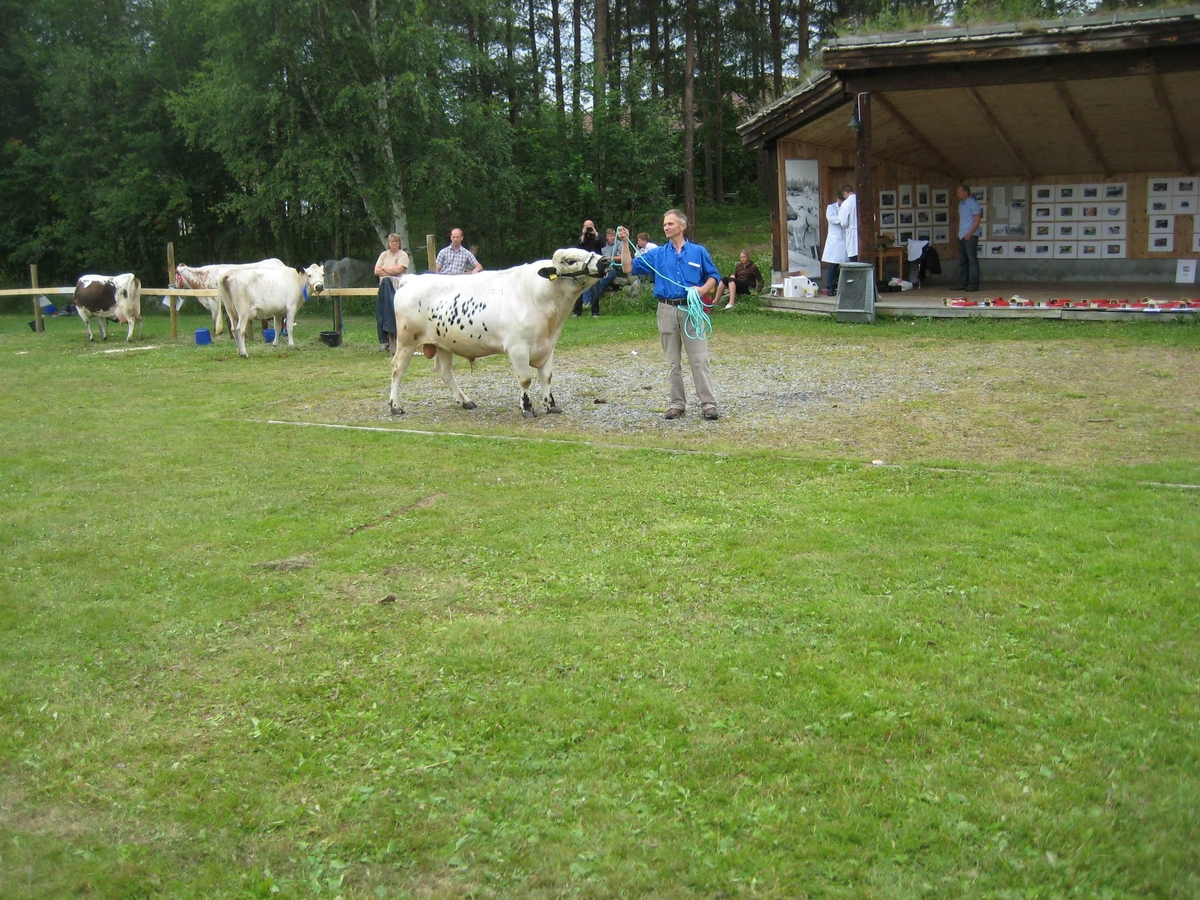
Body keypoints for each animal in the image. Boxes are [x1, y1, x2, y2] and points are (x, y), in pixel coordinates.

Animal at [388, 247, 609, 415]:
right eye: (570, 260)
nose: (605, 261)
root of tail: (412, 279)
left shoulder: (548, 346)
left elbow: (546, 377)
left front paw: (551, 405)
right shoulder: (517, 348)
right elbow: (525, 379)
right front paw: (527, 408)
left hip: (443, 343)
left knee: (444, 371)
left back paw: (465, 401)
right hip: (407, 340)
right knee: (398, 368)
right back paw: (395, 406)